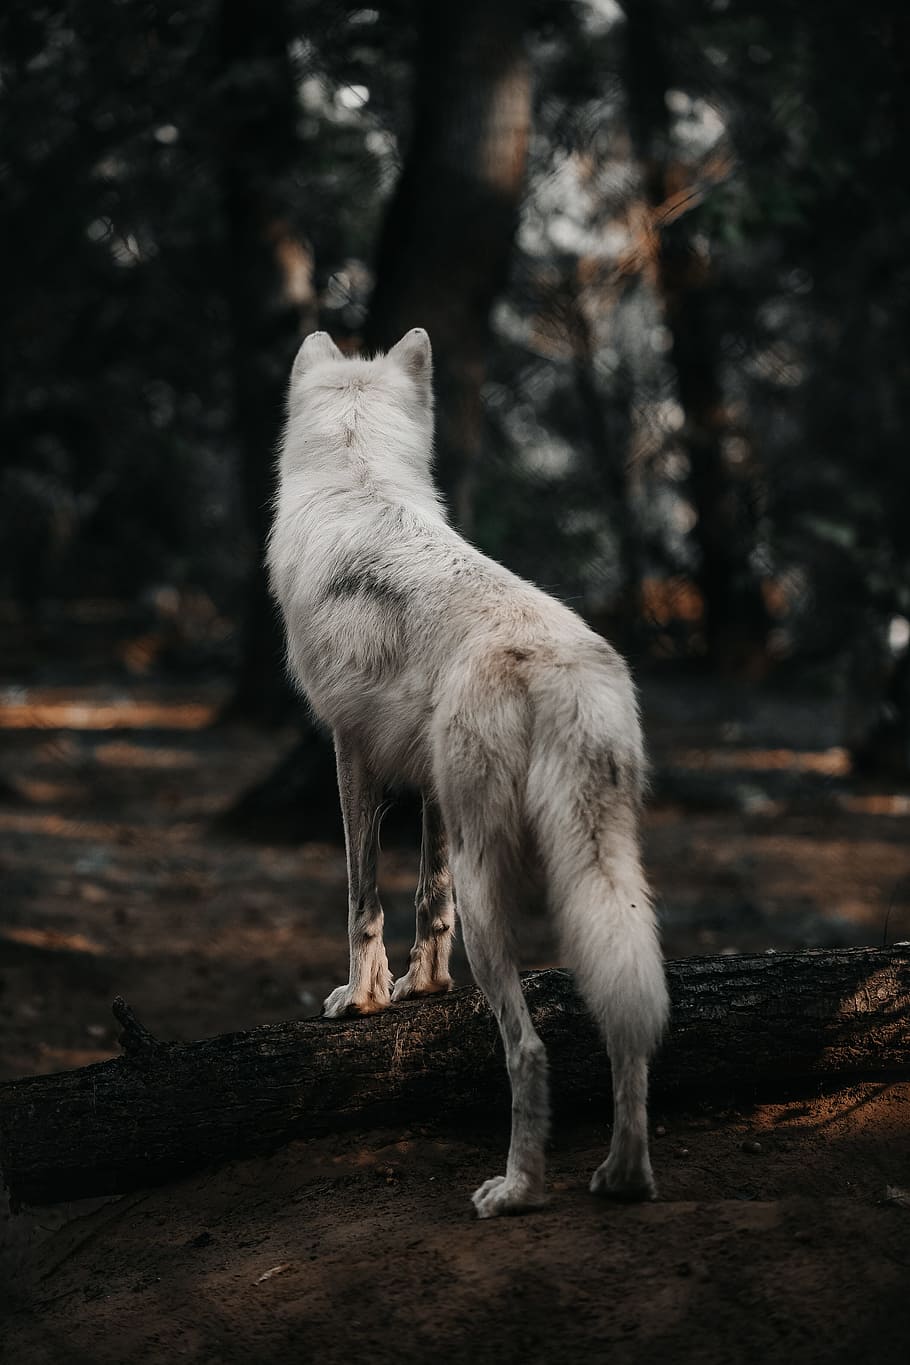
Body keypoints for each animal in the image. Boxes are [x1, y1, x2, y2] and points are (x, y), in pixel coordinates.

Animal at [267, 328, 669, 1218]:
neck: (358, 476)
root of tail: (557, 663)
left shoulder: (351, 751)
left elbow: (363, 899)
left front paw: (365, 998)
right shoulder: (432, 788)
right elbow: (427, 895)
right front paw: (423, 986)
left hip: (501, 901)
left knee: (529, 1050)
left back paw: (518, 1188)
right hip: (609, 878)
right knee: (629, 1017)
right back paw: (624, 1175)